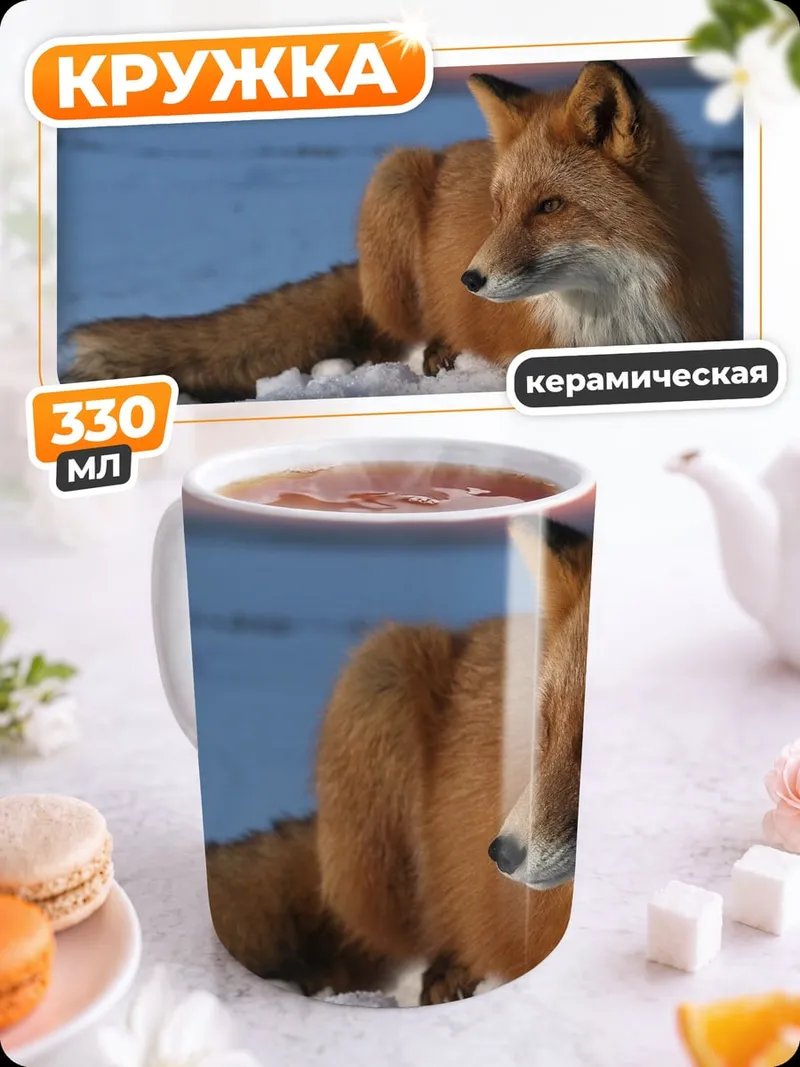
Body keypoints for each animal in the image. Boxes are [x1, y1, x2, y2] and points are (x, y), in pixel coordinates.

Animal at [62, 61, 736, 400]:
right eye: (499, 208)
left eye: (550, 206)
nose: (470, 279)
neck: (616, 324)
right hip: (394, 178)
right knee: (394, 334)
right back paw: (435, 348)